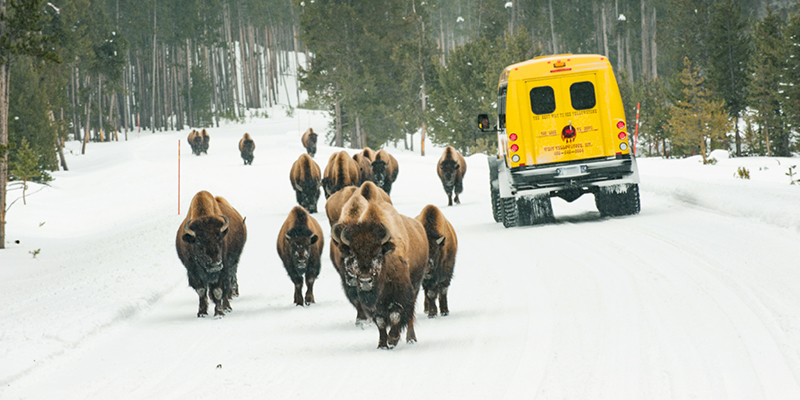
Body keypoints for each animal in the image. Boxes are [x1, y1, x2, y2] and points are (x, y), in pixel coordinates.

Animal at [332, 198, 432, 348]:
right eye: (353, 255)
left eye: (378, 254)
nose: (365, 281)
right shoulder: (374, 305)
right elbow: (380, 322)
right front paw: (382, 344)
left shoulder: (400, 294)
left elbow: (396, 315)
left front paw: (393, 339)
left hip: (416, 286)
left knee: (410, 315)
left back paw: (411, 338)